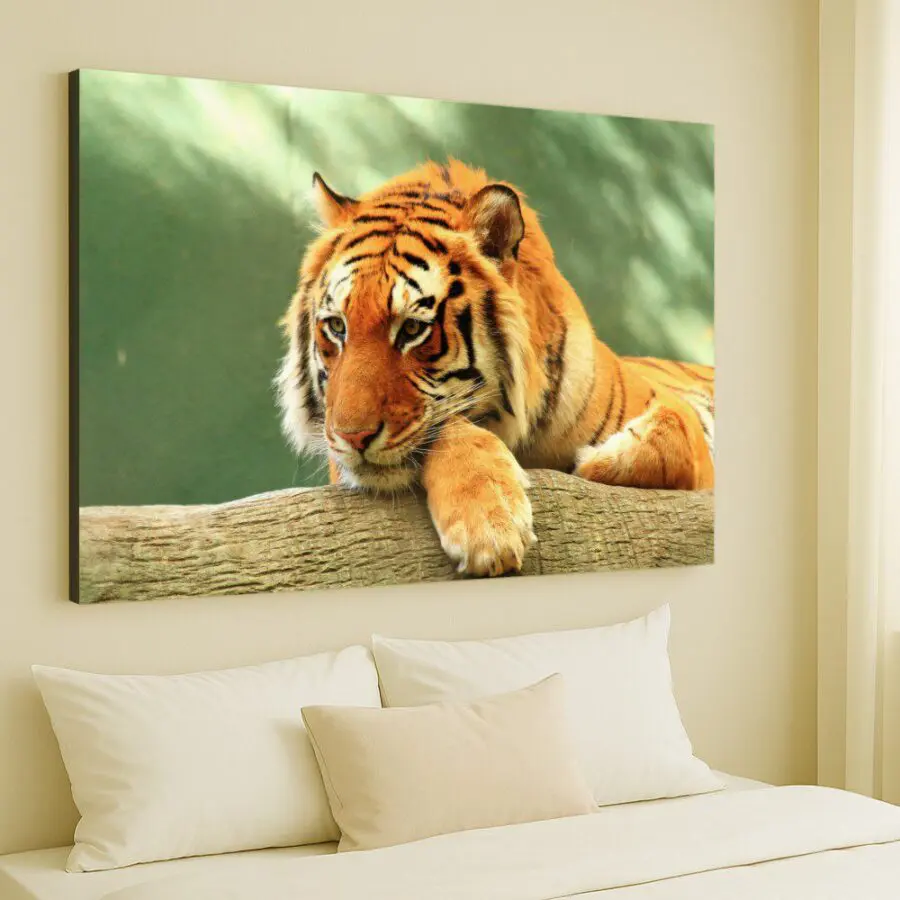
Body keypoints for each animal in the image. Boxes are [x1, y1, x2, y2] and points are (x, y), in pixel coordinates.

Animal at [276, 159, 714, 577]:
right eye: (337, 326)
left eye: (413, 329)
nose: (351, 437)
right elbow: (450, 426)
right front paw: (488, 525)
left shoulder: (679, 419)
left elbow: (673, 433)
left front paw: (595, 461)